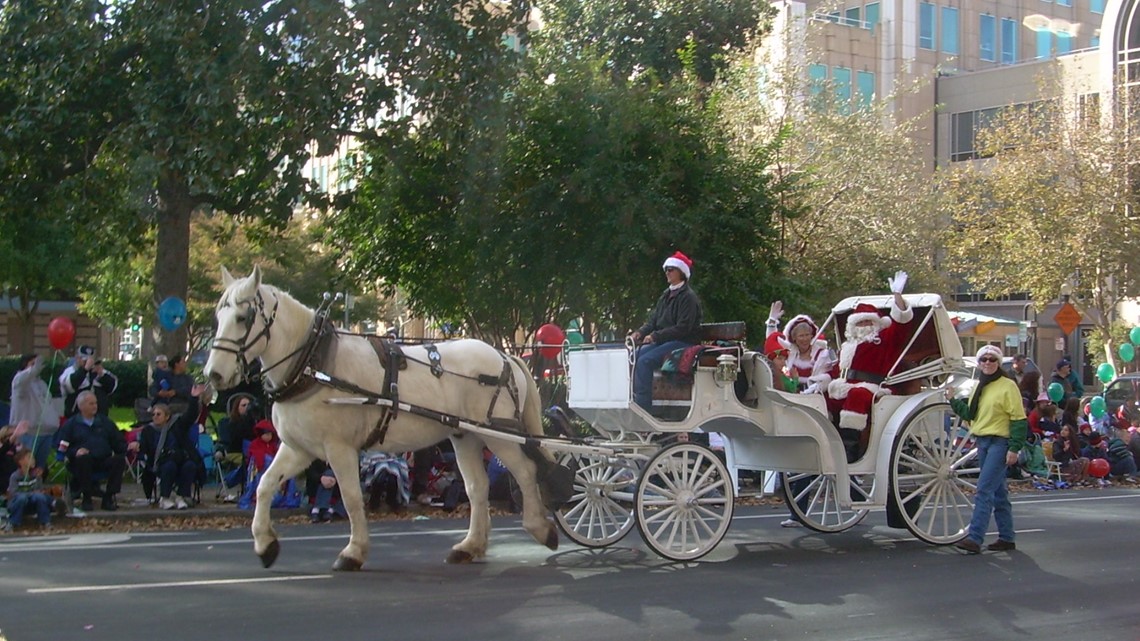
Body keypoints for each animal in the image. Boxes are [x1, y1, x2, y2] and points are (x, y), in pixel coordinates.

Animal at [205, 264, 565, 568]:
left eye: (243, 317)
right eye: (217, 317)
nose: (213, 374)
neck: (313, 365)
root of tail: (504, 356)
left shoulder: (339, 448)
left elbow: (351, 498)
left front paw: (353, 552)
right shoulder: (300, 449)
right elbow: (265, 485)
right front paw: (265, 544)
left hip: (498, 434)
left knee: (526, 472)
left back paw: (539, 527)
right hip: (466, 436)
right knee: (478, 487)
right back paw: (470, 546)